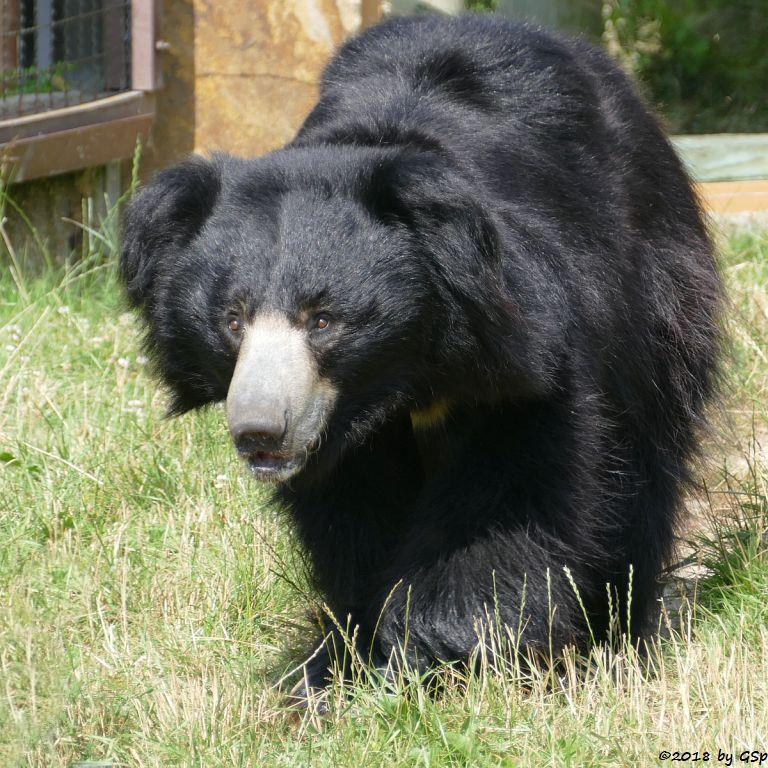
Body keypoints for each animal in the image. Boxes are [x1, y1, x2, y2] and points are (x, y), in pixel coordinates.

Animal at [120, 10, 720, 696]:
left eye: (323, 320)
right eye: (233, 320)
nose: (259, 432)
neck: (405, 378)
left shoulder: (532, 350)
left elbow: (511, 498)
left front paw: (443, 656)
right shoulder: (342, 439)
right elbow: (352, 520)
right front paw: (340, 667)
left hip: (657, 290)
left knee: (646, 457)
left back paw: (620, 637)